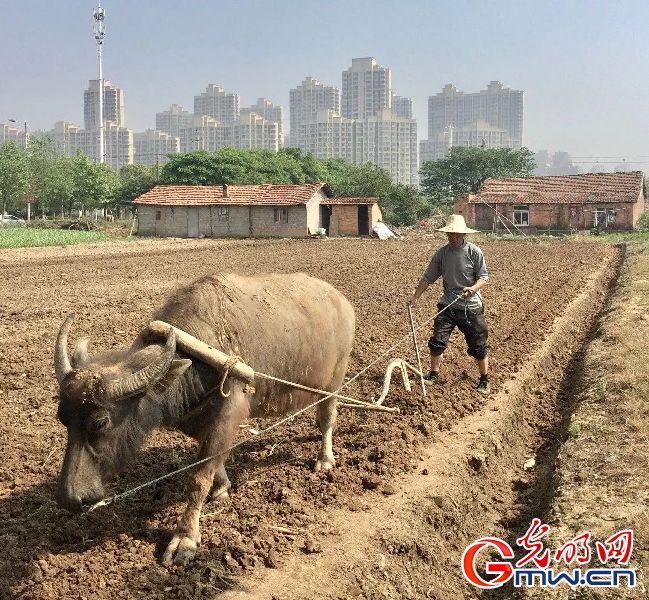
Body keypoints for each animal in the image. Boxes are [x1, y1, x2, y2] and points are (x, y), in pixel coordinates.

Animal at [54, 274, 354, 564]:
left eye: (100, 422)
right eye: (63, 419)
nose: (70, 498)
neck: (199, 356)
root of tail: (342, 300)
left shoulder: (228, 415)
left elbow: (198, 478)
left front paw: (185, 538)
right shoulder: (200, 422)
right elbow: (214, 461)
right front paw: (222, 490)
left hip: (334, 382)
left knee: (327, 418)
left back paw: (325, 460)